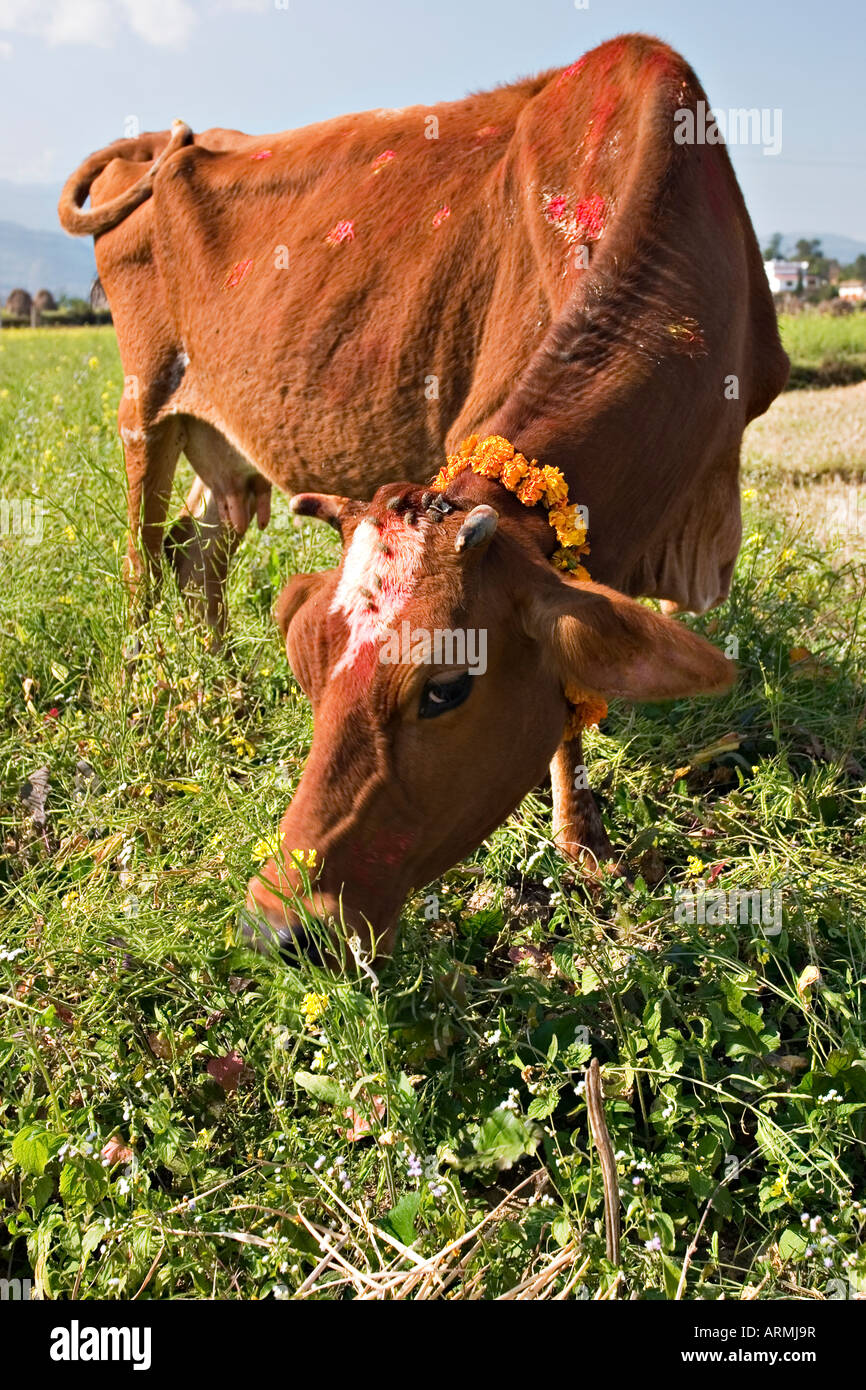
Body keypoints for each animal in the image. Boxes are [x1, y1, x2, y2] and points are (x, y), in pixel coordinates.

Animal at [59, 33, 788, 957]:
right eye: (311, 666)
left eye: (446, 688)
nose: (278, 924)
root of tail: (158, 141)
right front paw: (581, 840)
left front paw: (584, 841)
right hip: (142, 406)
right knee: (141, 562)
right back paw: (144, 685)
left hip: (221, 445)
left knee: (198, 549)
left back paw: (218, 680)